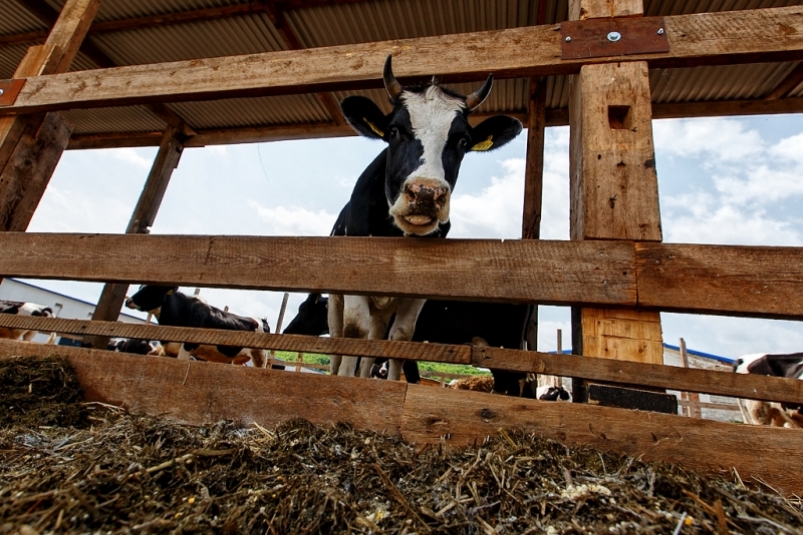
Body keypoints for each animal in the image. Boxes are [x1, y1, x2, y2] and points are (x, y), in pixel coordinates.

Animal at [125, 284, 270, 368]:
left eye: (153, 289)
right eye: (140, 287)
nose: (128, 301)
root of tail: (262, 320)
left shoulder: (187, 347)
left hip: (260, 356)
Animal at [330, 55, 524, 382]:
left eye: (463, 141)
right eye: (393, 131)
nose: (425, 193)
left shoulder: (418, 290)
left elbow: (400, 338)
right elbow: (353, 332)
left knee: (375, 340)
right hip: (334, 298)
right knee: (338, 337)